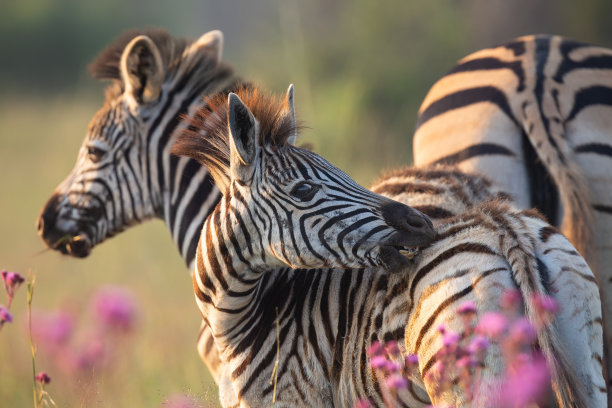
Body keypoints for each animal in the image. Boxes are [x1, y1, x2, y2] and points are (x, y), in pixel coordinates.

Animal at [172, 83, 604, 408]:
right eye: (304, 190)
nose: (421, 223)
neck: (250, 317)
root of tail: (502, 225)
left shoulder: (291, 396)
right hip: (584, 351)